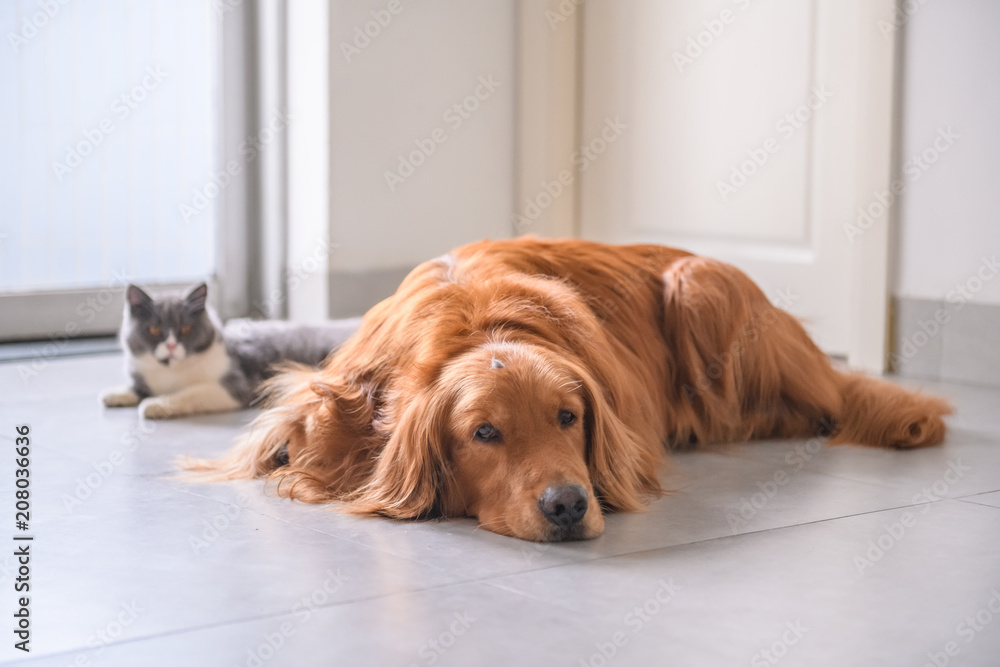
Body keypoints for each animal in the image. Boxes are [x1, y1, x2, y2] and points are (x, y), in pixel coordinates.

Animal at [100, 284, 360, 420]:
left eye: (186, 329)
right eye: (154, 329)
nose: (172, 346)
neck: (169, 372)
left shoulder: (233, 387)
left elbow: (187, 393)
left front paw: (155, 404)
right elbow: (137, 387)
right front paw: (116, 394)